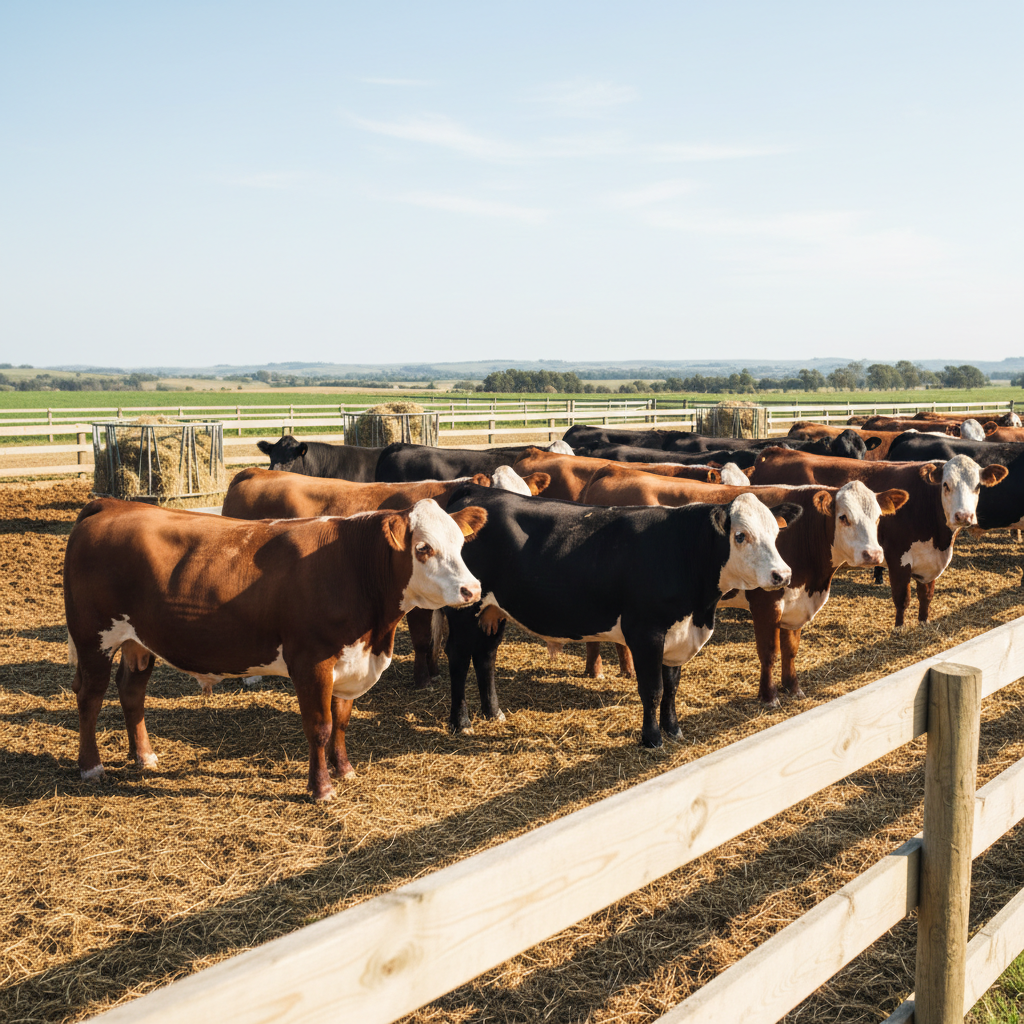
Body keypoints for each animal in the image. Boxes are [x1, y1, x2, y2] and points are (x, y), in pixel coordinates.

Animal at [64, 497, 487, 802]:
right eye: (423, 548)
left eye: (461, 544)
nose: (472, 589)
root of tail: (111, 504)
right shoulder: (312, 662)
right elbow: (319, 726)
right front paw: (321, 790)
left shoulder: (350, 662)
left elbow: (342, 721)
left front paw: (345, 769)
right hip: (93, 639)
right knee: (90, 697)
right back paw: (91, 766)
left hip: (138, 642)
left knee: (131, 692)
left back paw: (145, 757)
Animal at [440, 484, 801, 746]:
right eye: (740, 536)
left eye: (775, 533)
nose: (782, 574)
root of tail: (474, 491)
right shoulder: (646, 632)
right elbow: (653, 689)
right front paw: (652, 738)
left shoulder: (678, 634)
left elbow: (672, 686)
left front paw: (674, 730)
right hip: (464, 610)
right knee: (458, 658)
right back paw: (461, 723)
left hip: (493, 610)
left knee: (485, 656)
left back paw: (494, 713)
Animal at [578, 466, 907, 704]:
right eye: (843, 517)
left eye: (879, 517)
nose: (873, 554)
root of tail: (614, 471)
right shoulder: (766, 601)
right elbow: (769, 652)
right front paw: (769, 697)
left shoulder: (795, 605)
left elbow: (791, 650)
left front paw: (793, 689)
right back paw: (596, 671)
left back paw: (625, 669)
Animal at [749, 447, 1007, 626]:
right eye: (946, 485)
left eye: (977, 486)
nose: (963, 516)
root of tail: (776, 451)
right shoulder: (898, 558)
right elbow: (902, 598)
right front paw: (899, 629)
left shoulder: (930, 562)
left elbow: (926, 596)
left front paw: (923, 623)